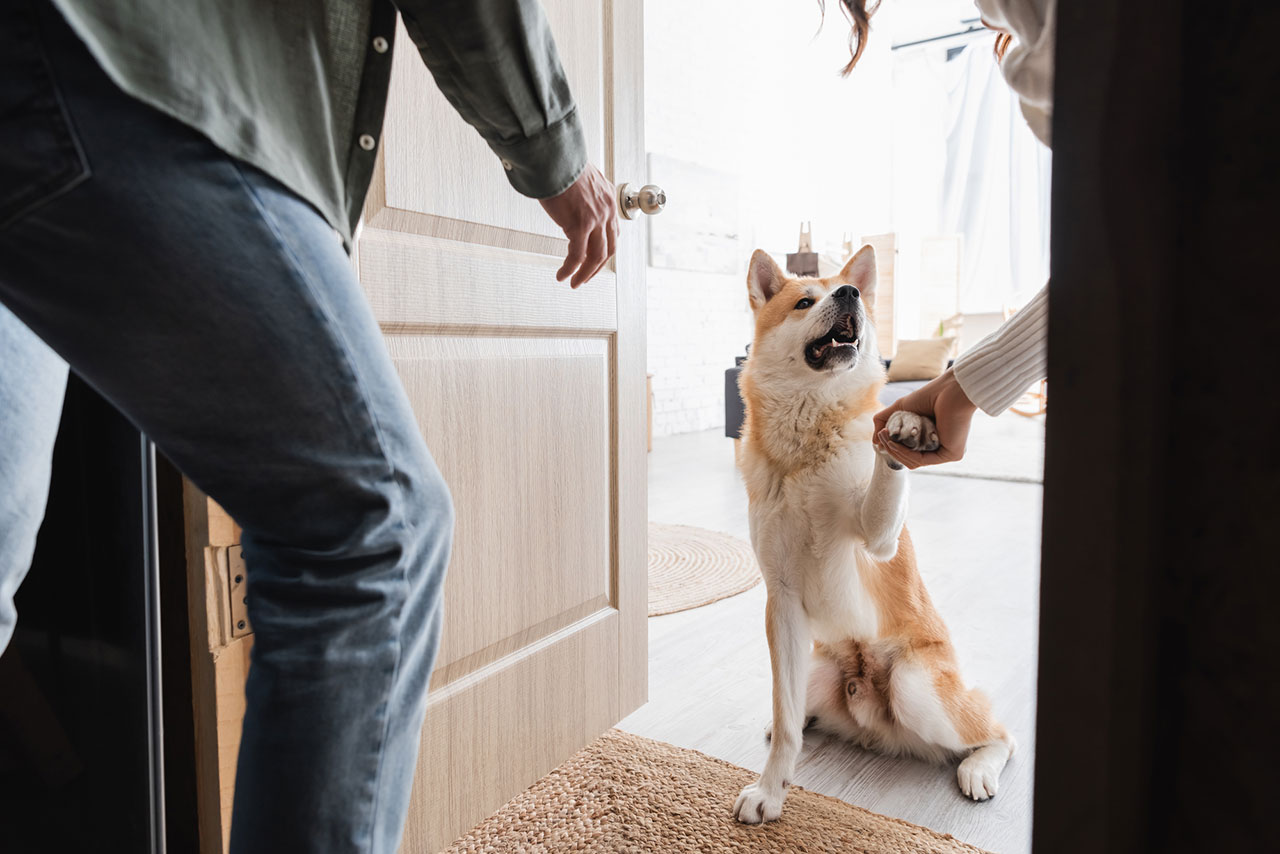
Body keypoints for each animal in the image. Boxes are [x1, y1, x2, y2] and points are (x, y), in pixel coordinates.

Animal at [737, 243, 1013, 824]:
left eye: (851, 294)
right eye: (803, 302)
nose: (850, 294)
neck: (808, 450)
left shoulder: (877, 540)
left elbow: (886, 471)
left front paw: (907, 426)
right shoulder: (782, 602)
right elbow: (786, 722)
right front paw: (771, 790)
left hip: (914, 686)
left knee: (1000, 733)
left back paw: (979, 767)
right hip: (813, 668)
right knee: (795, 712)